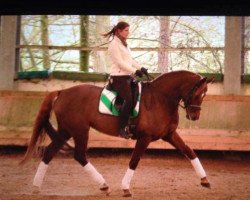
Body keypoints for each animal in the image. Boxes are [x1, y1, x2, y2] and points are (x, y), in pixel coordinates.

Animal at [21, 70, 213, 197]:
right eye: (198, 93)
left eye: (205, 94)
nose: (194, 116)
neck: (161, 98)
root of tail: (62, 92)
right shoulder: (144, 138)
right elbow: (134, 161)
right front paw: (126, 188)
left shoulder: (169, 134)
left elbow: (189, 151)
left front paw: (204, 180)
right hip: (79, 130)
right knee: (79, 155)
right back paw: (103, 185)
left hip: (66, 130)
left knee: (49, 152)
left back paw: (36, 187)